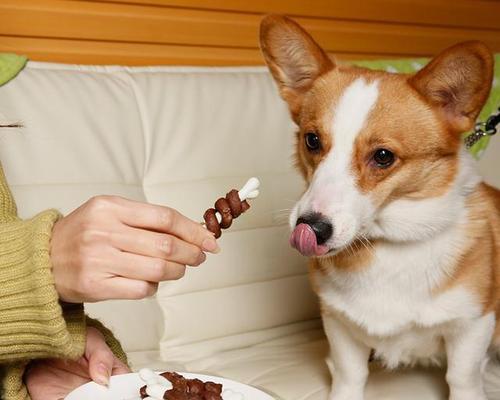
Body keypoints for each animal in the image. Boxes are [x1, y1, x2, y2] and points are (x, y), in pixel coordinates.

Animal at [260, 14, 498, 400]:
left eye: (383, 156)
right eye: (312, 140)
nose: (312, 228)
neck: (388, 245)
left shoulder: (472, 325)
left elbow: (462, 379)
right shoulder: (338, 324)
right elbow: (349, 374)